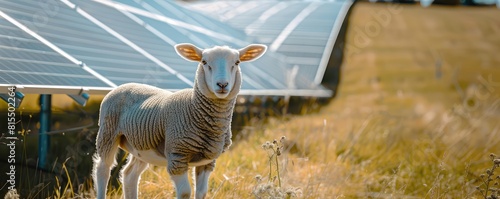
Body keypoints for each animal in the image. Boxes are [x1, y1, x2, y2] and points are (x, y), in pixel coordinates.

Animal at [92, 42, 268, 198]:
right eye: (204, 62)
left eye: (237, 62)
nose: (222, 84)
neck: (193, 108)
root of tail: (124, 85)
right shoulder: (177, 155)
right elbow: (185, 193)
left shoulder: (208, 161)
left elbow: (201, 193)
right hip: (108, 132)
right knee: (103, 169)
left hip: (141, 146)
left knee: (129, 175)